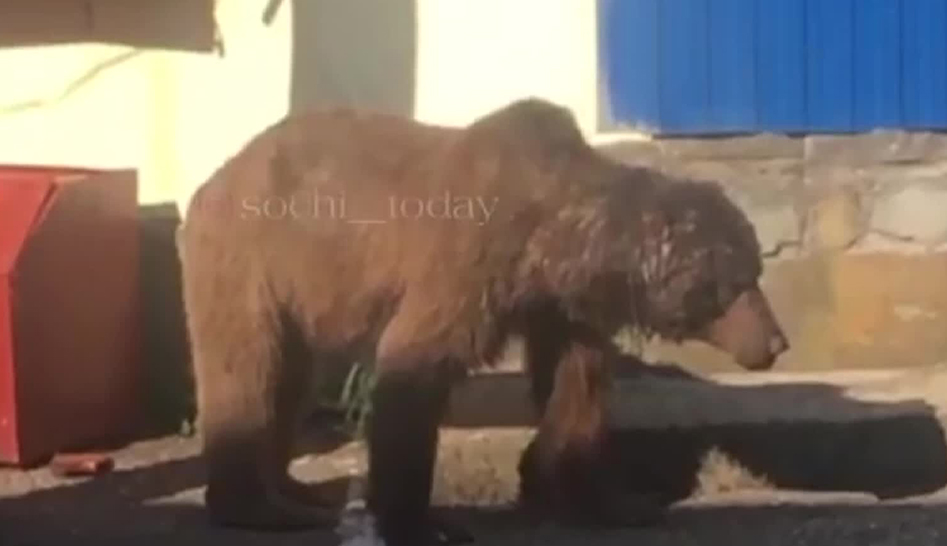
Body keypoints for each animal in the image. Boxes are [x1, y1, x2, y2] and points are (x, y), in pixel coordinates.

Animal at [176, 97, 788, 546]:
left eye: (754, 270)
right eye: (737, 281)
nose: (777, 341)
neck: (554, 240)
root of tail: (213, 179)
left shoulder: (555, 305)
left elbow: (576, 383)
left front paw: (605, 498)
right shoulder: (469, 264)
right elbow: (414, 368)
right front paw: (422, 522)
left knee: (288, 382)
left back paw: (296, 492)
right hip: (250, 261)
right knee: (247, 370)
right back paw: (260, 507)